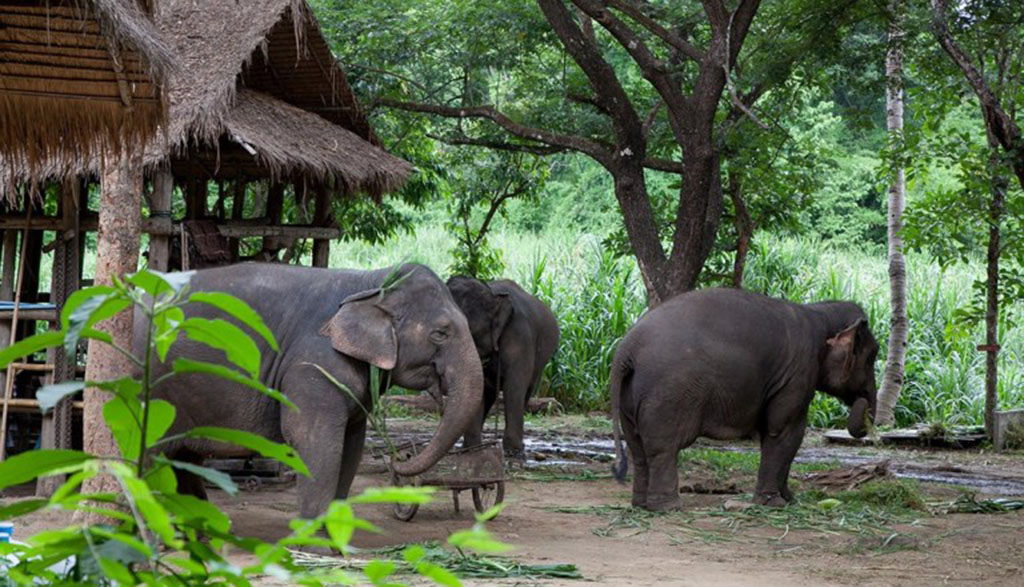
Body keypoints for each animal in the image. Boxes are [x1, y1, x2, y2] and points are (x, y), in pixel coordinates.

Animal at [137, 262, 483, 516]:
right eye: (441, 333)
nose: (398, 458)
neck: (372, 280)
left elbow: (351, 448)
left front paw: (335, 548)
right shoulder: (311, 368)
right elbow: (315, 443)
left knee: (182, 462)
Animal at [448, 276, 561, 456]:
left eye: (470, 331)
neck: (492, 294)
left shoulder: (520, 336)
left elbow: (514, 386)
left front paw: (513, 452)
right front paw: (472, 449)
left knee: (526, 391)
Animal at [606, 286, 880, 510]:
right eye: (871, 358)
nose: (862, 401)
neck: (818, 312)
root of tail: (625, 350)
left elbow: (781, 436)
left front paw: (789, 500)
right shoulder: (797, 373)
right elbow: (784, 431)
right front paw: (774, 503)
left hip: (630, 398)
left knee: (637, 447)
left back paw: (641, 504)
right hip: (668, 394)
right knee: (662, 449)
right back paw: (668, 507)